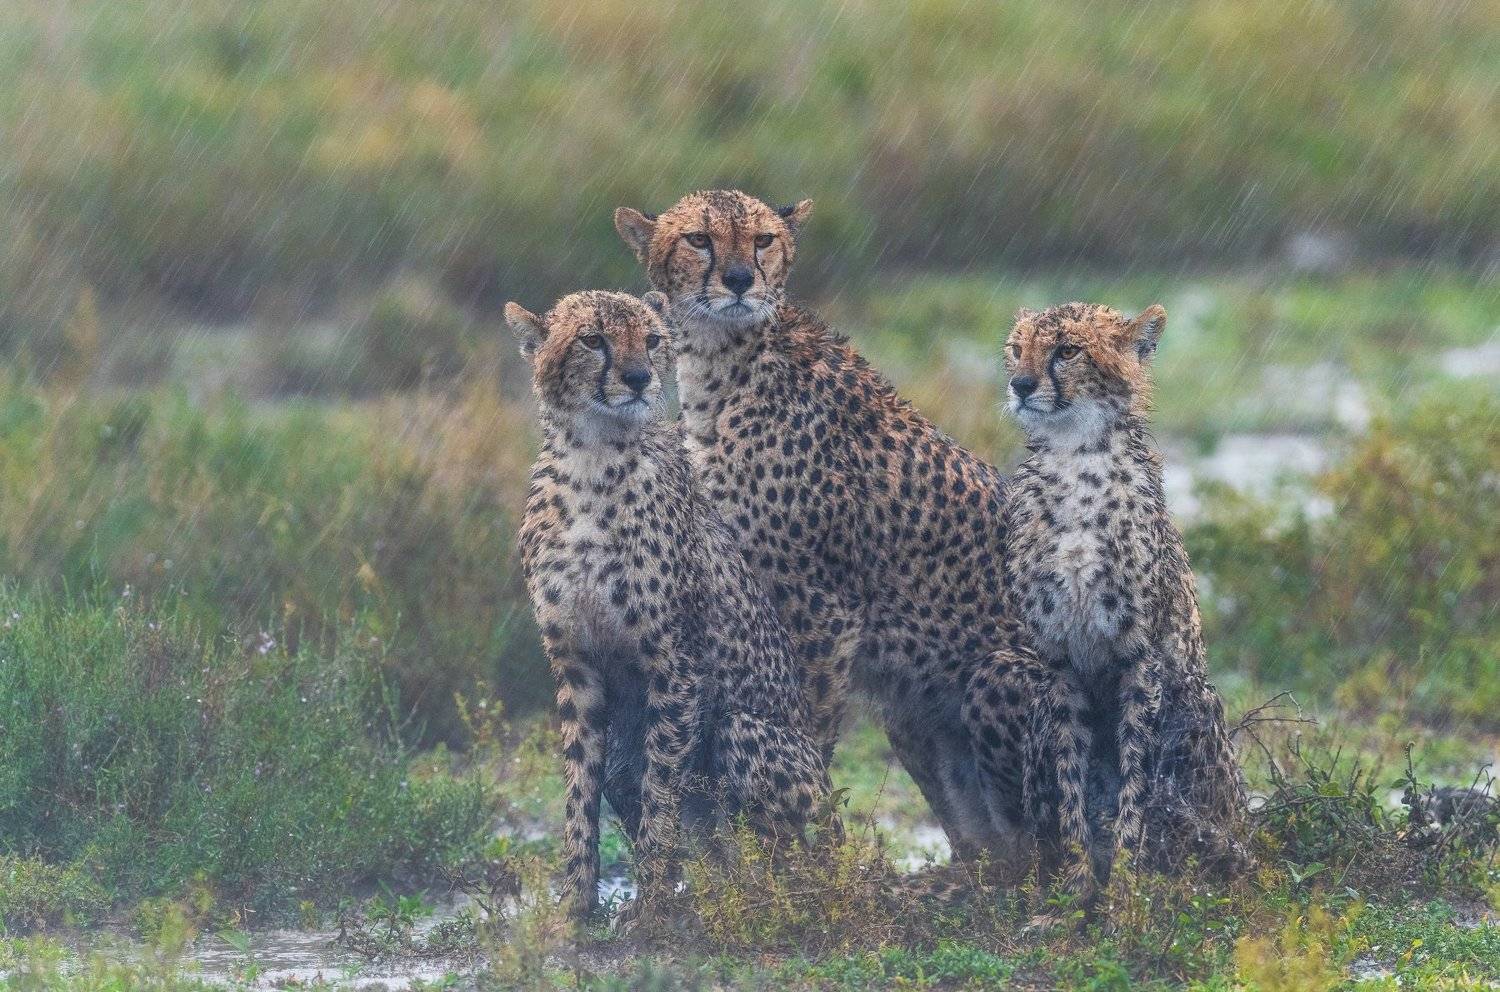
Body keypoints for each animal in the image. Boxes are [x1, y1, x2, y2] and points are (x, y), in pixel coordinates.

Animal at [508, 289, 835, 922]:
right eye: (593, 340)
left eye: (653, 339)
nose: (638, 379)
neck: (591, 459)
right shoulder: (575, 665)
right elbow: (579, 793)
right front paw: (575, 911)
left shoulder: (676, 664)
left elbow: (662, 789)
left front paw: (652, 909)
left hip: (747, 736)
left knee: (781, 856)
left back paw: (761, 901)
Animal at [614, 190, 1036, 872]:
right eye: (700, 239)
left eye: (762, 240)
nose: (740, 279)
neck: (721, 360)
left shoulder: (819, 606)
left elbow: (804, 727)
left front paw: (804, 855)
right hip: (910, 711)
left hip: (1001, 675)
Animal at [967, 301, 1247, 905]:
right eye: (1016, 348)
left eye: (1067, 351)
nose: (1020, 385)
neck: (1076, 456)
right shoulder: (1059, 661)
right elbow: (1071, 783)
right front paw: (1074, 894)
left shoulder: (1140, 659)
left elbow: (1135, 786)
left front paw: (1124, 893)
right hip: (1018, 689)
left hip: (1196, 700)